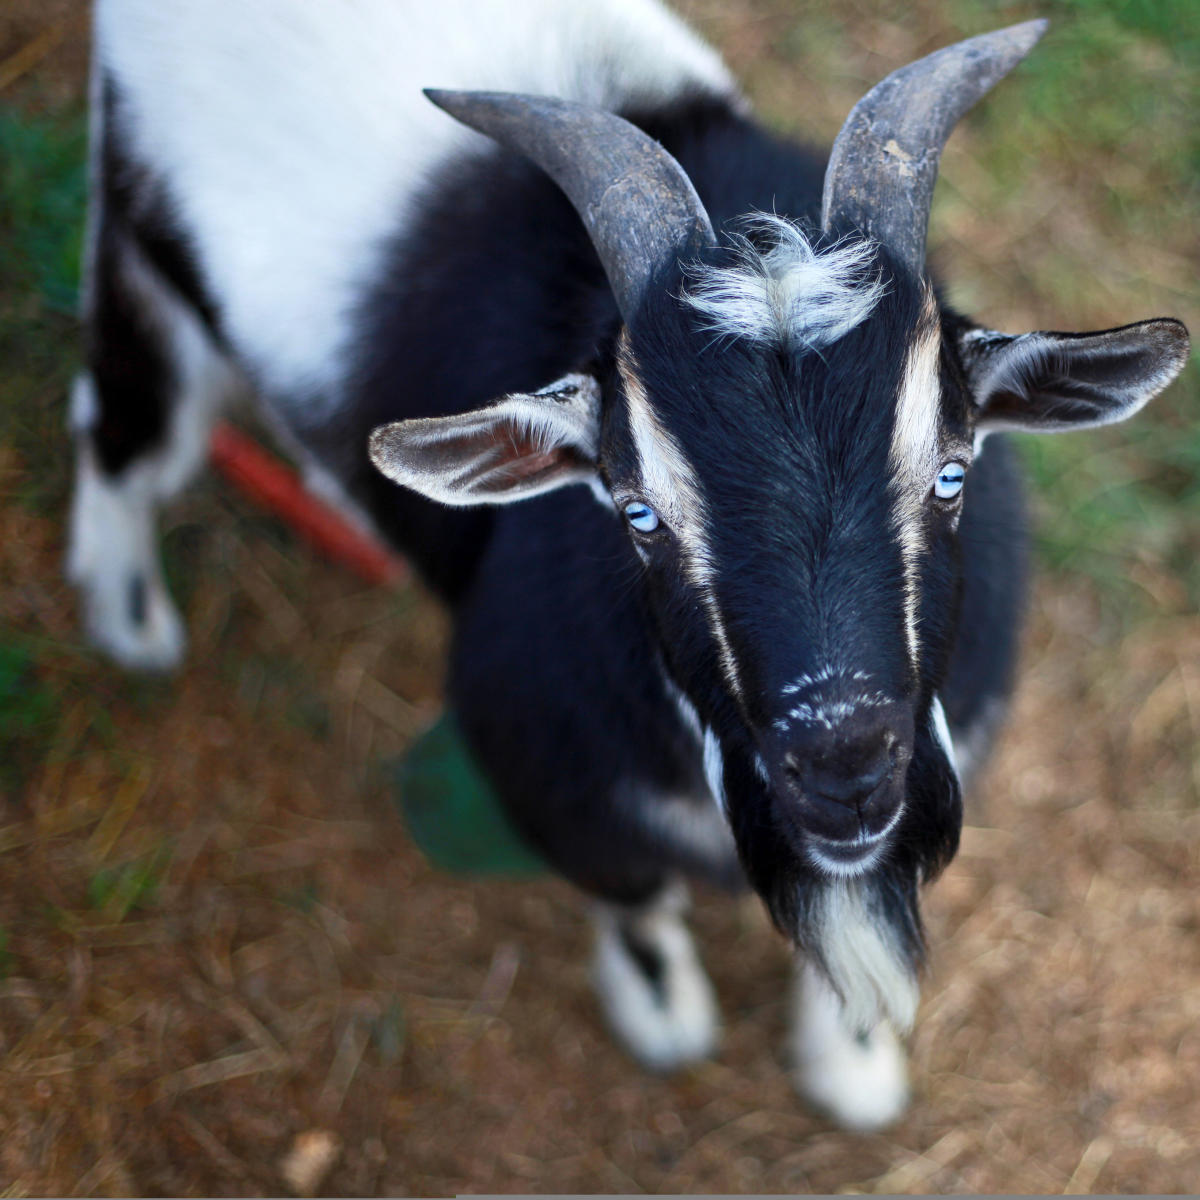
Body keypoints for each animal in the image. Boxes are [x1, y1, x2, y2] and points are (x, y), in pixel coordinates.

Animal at [75, 0, 1190, 1128]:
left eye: (953, 474)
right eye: (640, 512)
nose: (843, 765)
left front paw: (854, 1066)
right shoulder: (547, 775)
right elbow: (637, 904)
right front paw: (667, 1019)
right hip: (140, 230)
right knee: (126, 419)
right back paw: (129, 619)